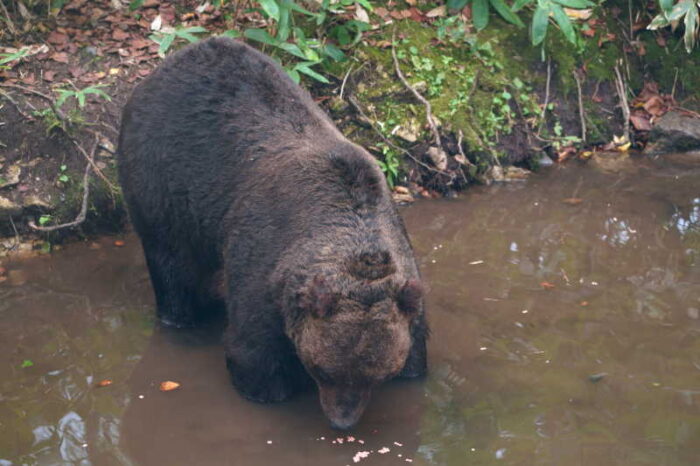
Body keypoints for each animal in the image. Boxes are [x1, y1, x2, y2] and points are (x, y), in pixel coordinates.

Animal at [117, 37, 426, 430]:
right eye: (322, 369)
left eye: (377, 375)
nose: (342, 421)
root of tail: (163, 66)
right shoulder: (265, 265)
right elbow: (254, 353)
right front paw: (267, 387)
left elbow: (415, 345)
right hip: (162, 180)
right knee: (172, 264)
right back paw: (182, 319)